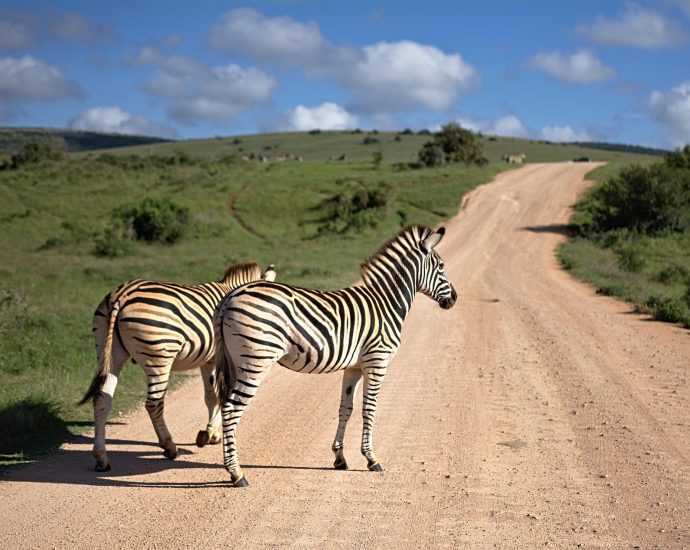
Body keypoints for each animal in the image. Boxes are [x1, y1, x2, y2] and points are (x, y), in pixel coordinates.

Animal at [79, 261, 276, 472]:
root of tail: (121, 295)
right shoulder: (221, 358)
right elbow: (221, 396)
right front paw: (209, 433)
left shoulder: (209, 360)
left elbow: (211, 397)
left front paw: (211, 434)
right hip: (158, 357)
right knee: (154, 404)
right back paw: (169, 447)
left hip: (108, 352)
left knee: (102, 399)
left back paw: (101, 458)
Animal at [214, 225, 457, 487]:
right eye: (441, 266)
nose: (454, 299)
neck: (386, 303)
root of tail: (230, 296)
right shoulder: (377, 361)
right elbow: (369, 408)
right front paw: (371, 459)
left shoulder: (354, 367)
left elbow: (346, 408)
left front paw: (340, 458)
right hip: (255, 361)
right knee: (232, 409)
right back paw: (237, 473)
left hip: (235, 362)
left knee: (225, 405)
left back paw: (231, 467)